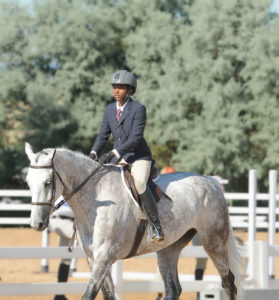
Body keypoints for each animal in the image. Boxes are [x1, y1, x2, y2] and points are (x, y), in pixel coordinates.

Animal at [24, 143, 243, 300]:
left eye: (47, 183)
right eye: (28, 183)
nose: (37, 224)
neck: (95, 196)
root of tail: (211, 182)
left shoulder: (104, 257)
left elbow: (88, 295)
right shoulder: (94, 259)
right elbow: (108, 296)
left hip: (213, 242)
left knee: (228, 282)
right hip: (169, 249)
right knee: (173, 288)